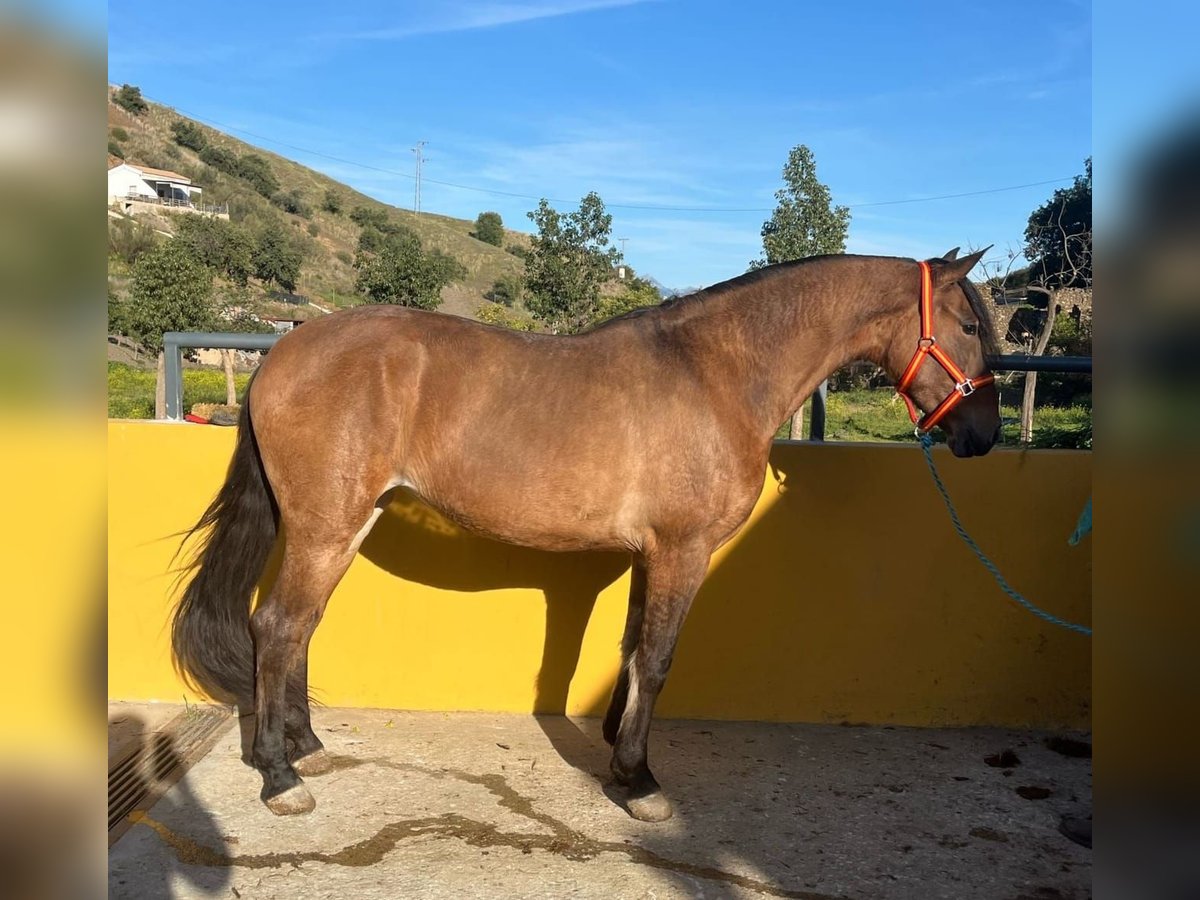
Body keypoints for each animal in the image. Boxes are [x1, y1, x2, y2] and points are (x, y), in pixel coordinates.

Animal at [171, 250, 1003, 820]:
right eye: (968, 325)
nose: (984, 435)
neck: (716, 374)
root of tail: (285, 350)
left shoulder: (650, 555)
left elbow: (634, 650)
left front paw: (616, 754)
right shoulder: (682, 550)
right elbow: (659, 659)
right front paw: (640, 780)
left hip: (338, 527)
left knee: (300, 627)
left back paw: (306, 746)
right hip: (325, 528)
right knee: (278, 627)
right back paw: (279, 776)